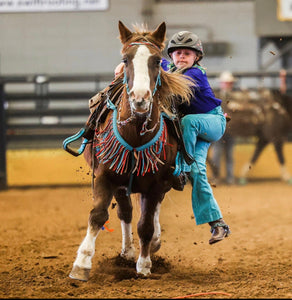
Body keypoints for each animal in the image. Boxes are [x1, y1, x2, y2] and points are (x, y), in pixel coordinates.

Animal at [67, 21, 193, 282]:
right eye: (125, 59)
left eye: (157, 60)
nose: (140, 99)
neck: (135, 133)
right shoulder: (105, 176)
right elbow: (98, 215)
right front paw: (81, 264)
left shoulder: (156, 183)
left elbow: (145, 224)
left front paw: (144, 265)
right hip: (121, 184)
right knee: (125, 212)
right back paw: (127, 251)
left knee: (151, 212)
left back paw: (152, 243)